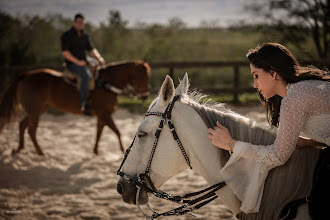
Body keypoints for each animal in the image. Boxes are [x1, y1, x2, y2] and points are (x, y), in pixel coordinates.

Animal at [0, 60, 151, 156]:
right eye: (141, 77)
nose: (145, 96)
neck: (106, 83)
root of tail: (25, 75)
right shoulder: (104, 114)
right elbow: (117, 132)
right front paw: (122, 151)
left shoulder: (102, 115)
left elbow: (99, 133)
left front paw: (95, 151)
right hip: (35, 111)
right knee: (31, 130)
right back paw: (40, 152)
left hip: (37, 110)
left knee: (22, 124)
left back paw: (19, 149)